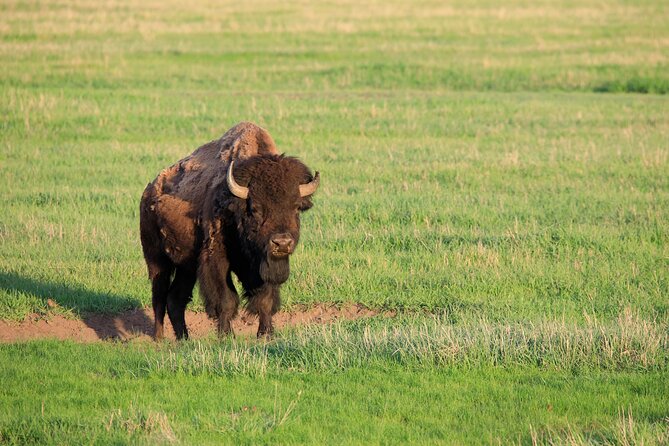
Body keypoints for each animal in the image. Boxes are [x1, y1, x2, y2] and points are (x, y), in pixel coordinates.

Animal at [138, 122, 318, 338]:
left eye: (296, 207)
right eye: (255, 208)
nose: (282, 243)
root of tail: (149, 190)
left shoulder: (262, 263)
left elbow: (265, 299)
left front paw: (265, 334)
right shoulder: (216, 259)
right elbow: (226, 298)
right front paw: (226, 335)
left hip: (186, 266)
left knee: (175, 299)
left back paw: (184, 339)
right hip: (157, 260)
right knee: (159, 297)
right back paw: (160, 338)